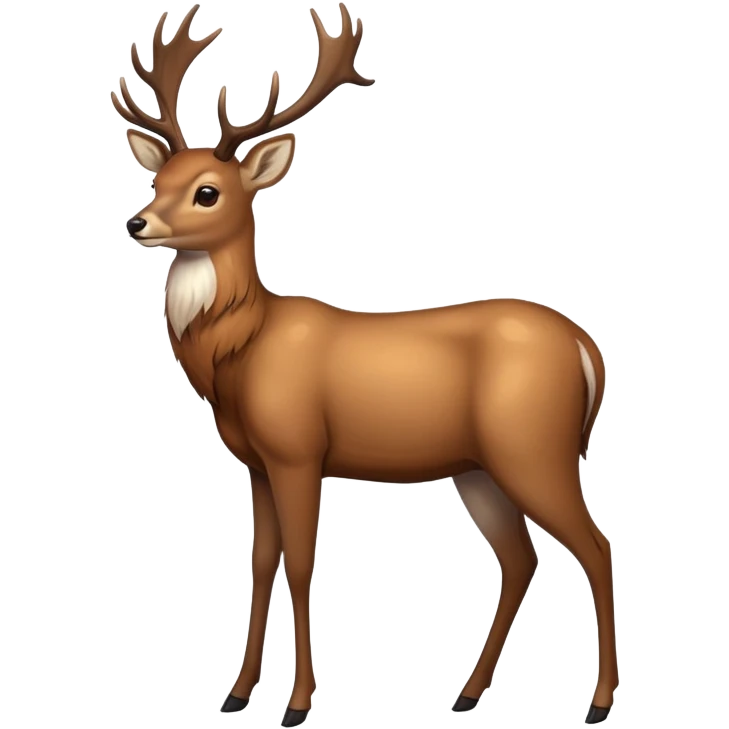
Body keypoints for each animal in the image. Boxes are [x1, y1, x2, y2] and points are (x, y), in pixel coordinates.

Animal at [111, 3, 617, 726]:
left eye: (207, 192)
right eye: (159, 180)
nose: (138, 221)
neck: (240, 353)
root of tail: (586, 348)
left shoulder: (298, 450)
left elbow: (299, 564)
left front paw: (296, 704)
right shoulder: (257, 462)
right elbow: (260, 563)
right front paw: (236, 694)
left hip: (533, 447)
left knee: (595, 547)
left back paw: (596, 703)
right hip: (478, 467)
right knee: (520, 558)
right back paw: (466, 693)